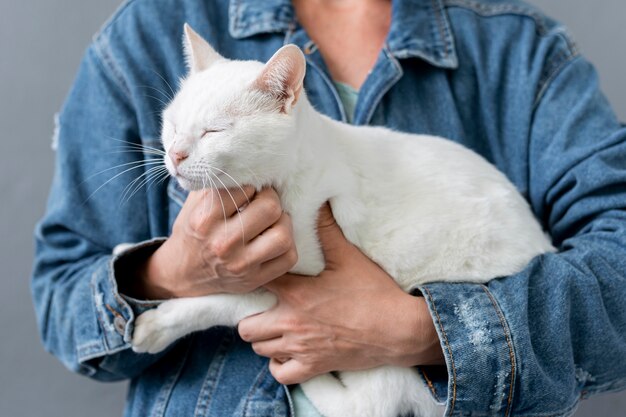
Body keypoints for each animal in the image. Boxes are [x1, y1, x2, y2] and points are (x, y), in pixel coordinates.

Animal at [129, 25, 552, 416]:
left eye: (213, 132)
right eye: (172, 125)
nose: (176, 155)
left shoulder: (298, 279)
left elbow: (226, 299)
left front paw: (159, 324)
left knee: (367, 404)